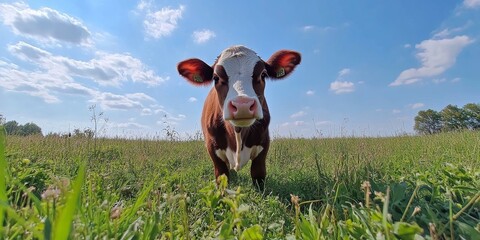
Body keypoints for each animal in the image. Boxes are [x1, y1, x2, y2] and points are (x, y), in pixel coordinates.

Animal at [178, 44, 302, 188]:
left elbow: (258, 174)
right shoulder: (211, 146)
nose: (243, 105)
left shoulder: (264, 143)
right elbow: (221, 176)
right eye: (216, 78)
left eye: (263, 74)